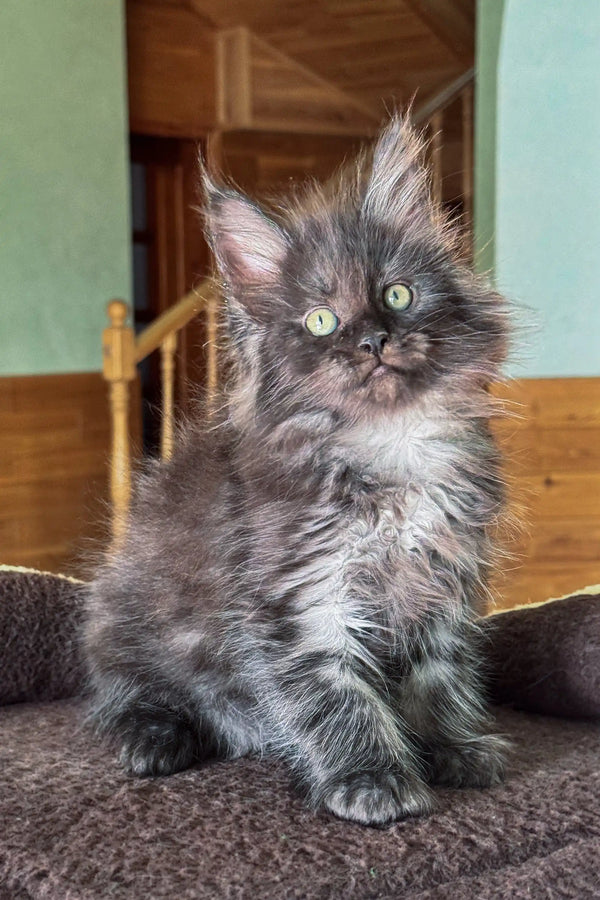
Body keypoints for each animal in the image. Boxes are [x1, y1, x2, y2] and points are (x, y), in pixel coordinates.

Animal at [85, 119, 506, 828]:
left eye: (397, 294)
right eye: (321, 319)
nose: (373, 341)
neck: (388, 447)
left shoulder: (440, 581)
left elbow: (440, 678)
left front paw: (455, 747)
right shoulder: (301, 598)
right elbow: (338, 696)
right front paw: (373, 778)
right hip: (117, 623)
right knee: (125, 698)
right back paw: (155, 739)